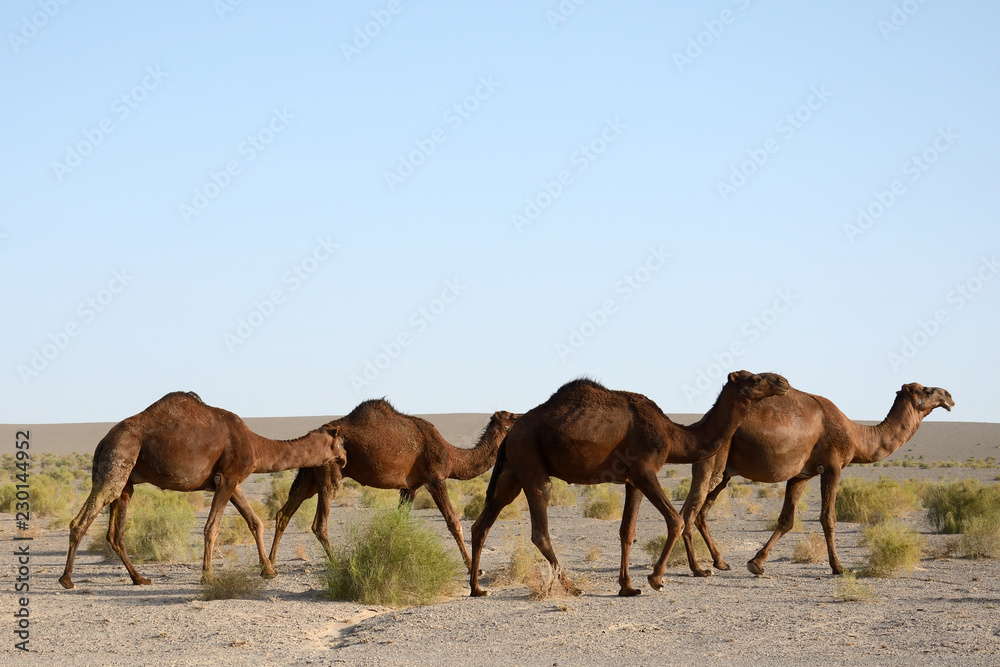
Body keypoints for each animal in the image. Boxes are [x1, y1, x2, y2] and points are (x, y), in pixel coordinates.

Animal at [60, 392, 348, 588]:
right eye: (341, 442)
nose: (345, 458)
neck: (256, 446)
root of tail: (102, 441)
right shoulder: (228, 478)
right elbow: (212, 527)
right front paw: (208, 575)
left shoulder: (233, 482)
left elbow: (255, 522)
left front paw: (268, 569)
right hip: (119, 459)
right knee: (81, 520)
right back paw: (67, 579)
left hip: (126, 480)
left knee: (115, 533)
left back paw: (139, 578)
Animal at [268, 400, 516, 572]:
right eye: (513, 417)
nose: (523, 415)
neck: (452, 455)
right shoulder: (435, 478)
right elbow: (454, 522)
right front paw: (473, 568)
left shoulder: (410, 487)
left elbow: (399, 522)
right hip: (330, 473)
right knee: (319, 523)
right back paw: (337, 565)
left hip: (311, 477)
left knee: (283, 514)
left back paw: (269, 567)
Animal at [468, 374, 788, 596]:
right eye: (755, 378)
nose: (783, 382)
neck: (672, 435)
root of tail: (510, 434)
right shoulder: (645, 471)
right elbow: (675, 520)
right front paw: (656, 579)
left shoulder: (632, 481)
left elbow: (627, 531)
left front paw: (627, 587)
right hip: (530, 460)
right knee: (539, 529)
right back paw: (572, 587)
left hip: (512, 471)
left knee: (482, 523)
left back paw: (476, 588)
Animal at [664, 380, 952, 580]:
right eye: (927, 390)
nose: (949, 396)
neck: (857, 434)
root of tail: (701, 424)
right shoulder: (833, 467)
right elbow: (828, 518)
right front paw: (839, 567)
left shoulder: (801, 475)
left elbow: (787, 520)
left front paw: (757, 562)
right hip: (713, 463)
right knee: (689, 511)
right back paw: (697, 569)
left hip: (725, 473)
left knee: (700, 511)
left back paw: (720, 562)